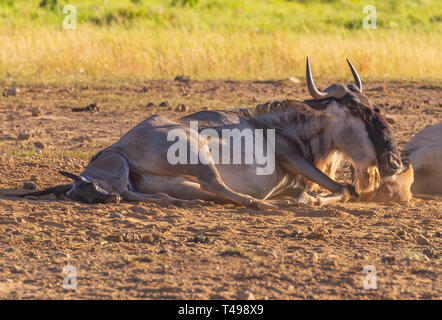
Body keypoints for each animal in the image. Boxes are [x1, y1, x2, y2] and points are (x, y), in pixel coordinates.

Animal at [12, 58, 408, 209]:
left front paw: (308, 196)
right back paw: (273, 204)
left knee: (168, 193)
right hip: (197, 152)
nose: (393, 161)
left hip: (174, 181)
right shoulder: (289, 156)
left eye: (375, 105)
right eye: (357, 110)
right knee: (227, 191)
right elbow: (345, 188)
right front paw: (308, 199)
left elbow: (341, 188)